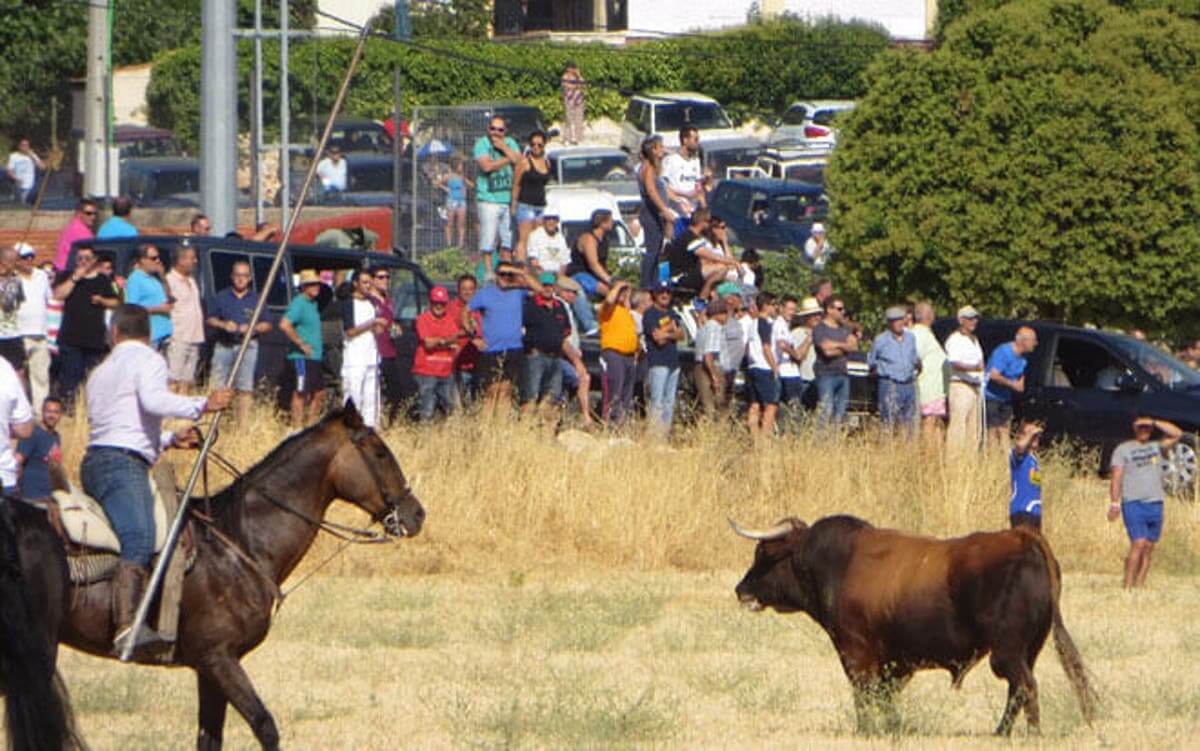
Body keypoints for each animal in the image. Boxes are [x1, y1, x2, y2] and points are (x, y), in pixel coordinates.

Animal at [0, 403, 429, 748]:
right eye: (379, 451)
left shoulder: (209, 669)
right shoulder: (219, 659)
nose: (416, 514)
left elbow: (210, 738)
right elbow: (265, 726)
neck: (240, 542)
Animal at [729, 513, 1099, 729]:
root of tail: (1021, 536)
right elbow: (885, 697)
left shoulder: (855, 652)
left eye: (763, 554)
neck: (835, 562)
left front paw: (867, 730)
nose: (740, 589)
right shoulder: (893, 661)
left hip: (1005, 652)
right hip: (1028, 649)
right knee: (1018, 691)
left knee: (1025, 687)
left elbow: (864, 695)